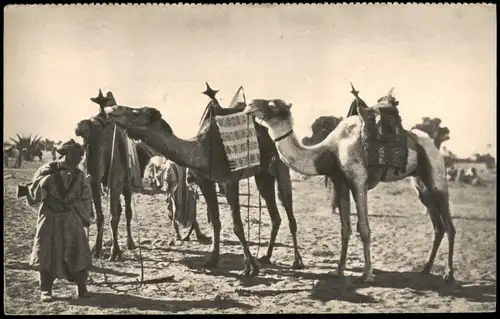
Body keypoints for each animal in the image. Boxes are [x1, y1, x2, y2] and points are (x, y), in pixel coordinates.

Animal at [76, 89, 211, 260]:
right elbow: (125, 212)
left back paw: (98, 249)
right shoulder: (123, 181)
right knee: (112, 214)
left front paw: (122, 243)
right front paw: (127, 244)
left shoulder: (119, 182)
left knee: (103, 213)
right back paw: (113, 251)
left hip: (96, 175)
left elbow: (122, 211)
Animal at [242, 87, 458, 282]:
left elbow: (363, 228)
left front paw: (367, 274)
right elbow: (344, 228)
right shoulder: (340, 183)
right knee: (438, 227)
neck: (332, 149)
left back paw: (449, 273)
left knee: (449, 225)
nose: (249, 105)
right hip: (420, 185)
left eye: (272, 104)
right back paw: (426, 269)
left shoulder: (358, 181)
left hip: (436, 177)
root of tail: (431, 143)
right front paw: (338, 270)